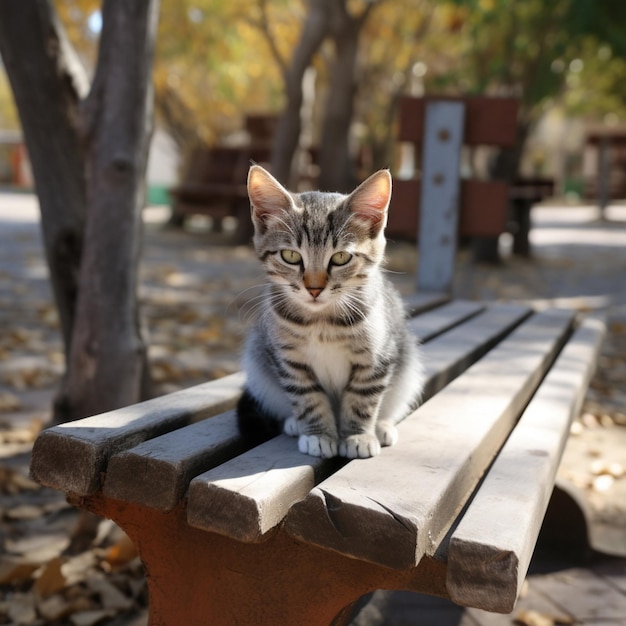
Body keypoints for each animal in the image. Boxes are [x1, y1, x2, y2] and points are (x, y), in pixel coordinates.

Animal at [235, 165, 424, 458]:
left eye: (341, 258)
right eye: (290, 256)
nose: (314, 289)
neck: (321, 321)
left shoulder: (375, 358)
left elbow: (362, 399)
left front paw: (358, 436)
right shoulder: (290, 360)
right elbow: (308, 397)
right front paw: (318, 434)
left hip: (407, 366)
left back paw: (382, 425)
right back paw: (294, 423)